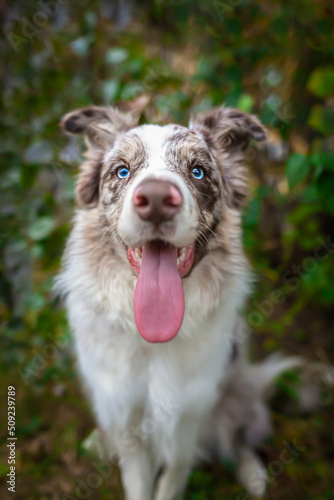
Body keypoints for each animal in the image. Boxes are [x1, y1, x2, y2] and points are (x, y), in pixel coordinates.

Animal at [56, 103, 332, 498]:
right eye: (122, 171)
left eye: (198, 171)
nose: (156, 200)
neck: (153, 341)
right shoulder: (126, 414)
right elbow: (138, 481)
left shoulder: (188, 415)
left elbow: (174, 475)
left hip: (237, 396)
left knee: (239, 437)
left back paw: (253, 474)